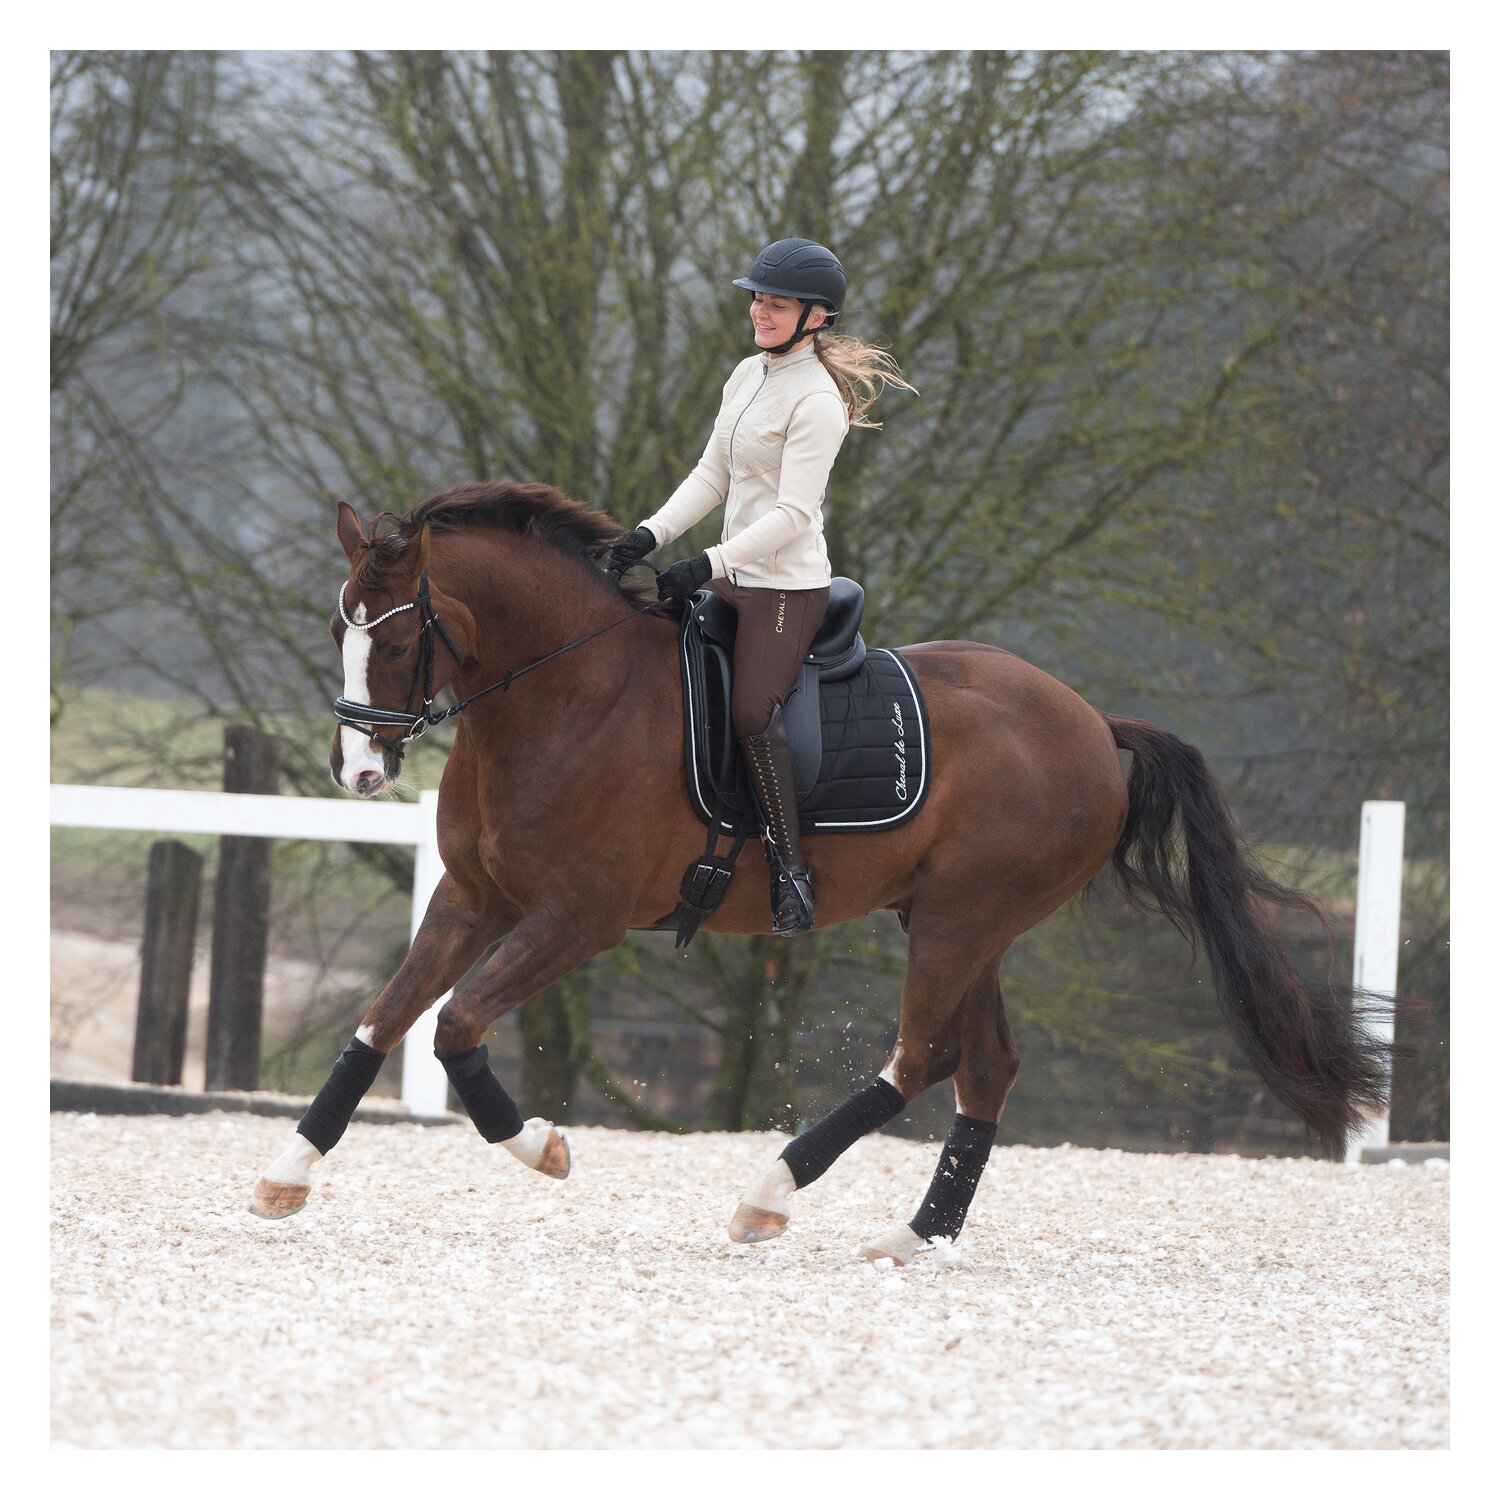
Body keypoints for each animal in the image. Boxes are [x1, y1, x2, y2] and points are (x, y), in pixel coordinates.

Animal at [251, 480, 1391, 1263]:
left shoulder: (577, 917)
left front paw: (539, 1144)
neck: (564, 691)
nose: (357, 771)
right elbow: (381, 1023)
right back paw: (918, 1237)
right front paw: (285, 1173)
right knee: (985, 1066)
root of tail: (1087, 718)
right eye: (339, 628)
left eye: (400, 638)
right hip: (956, 921)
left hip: (963, 918)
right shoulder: (472, 899)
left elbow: (454, 1027)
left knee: (921, 1059)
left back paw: (769, 1192)